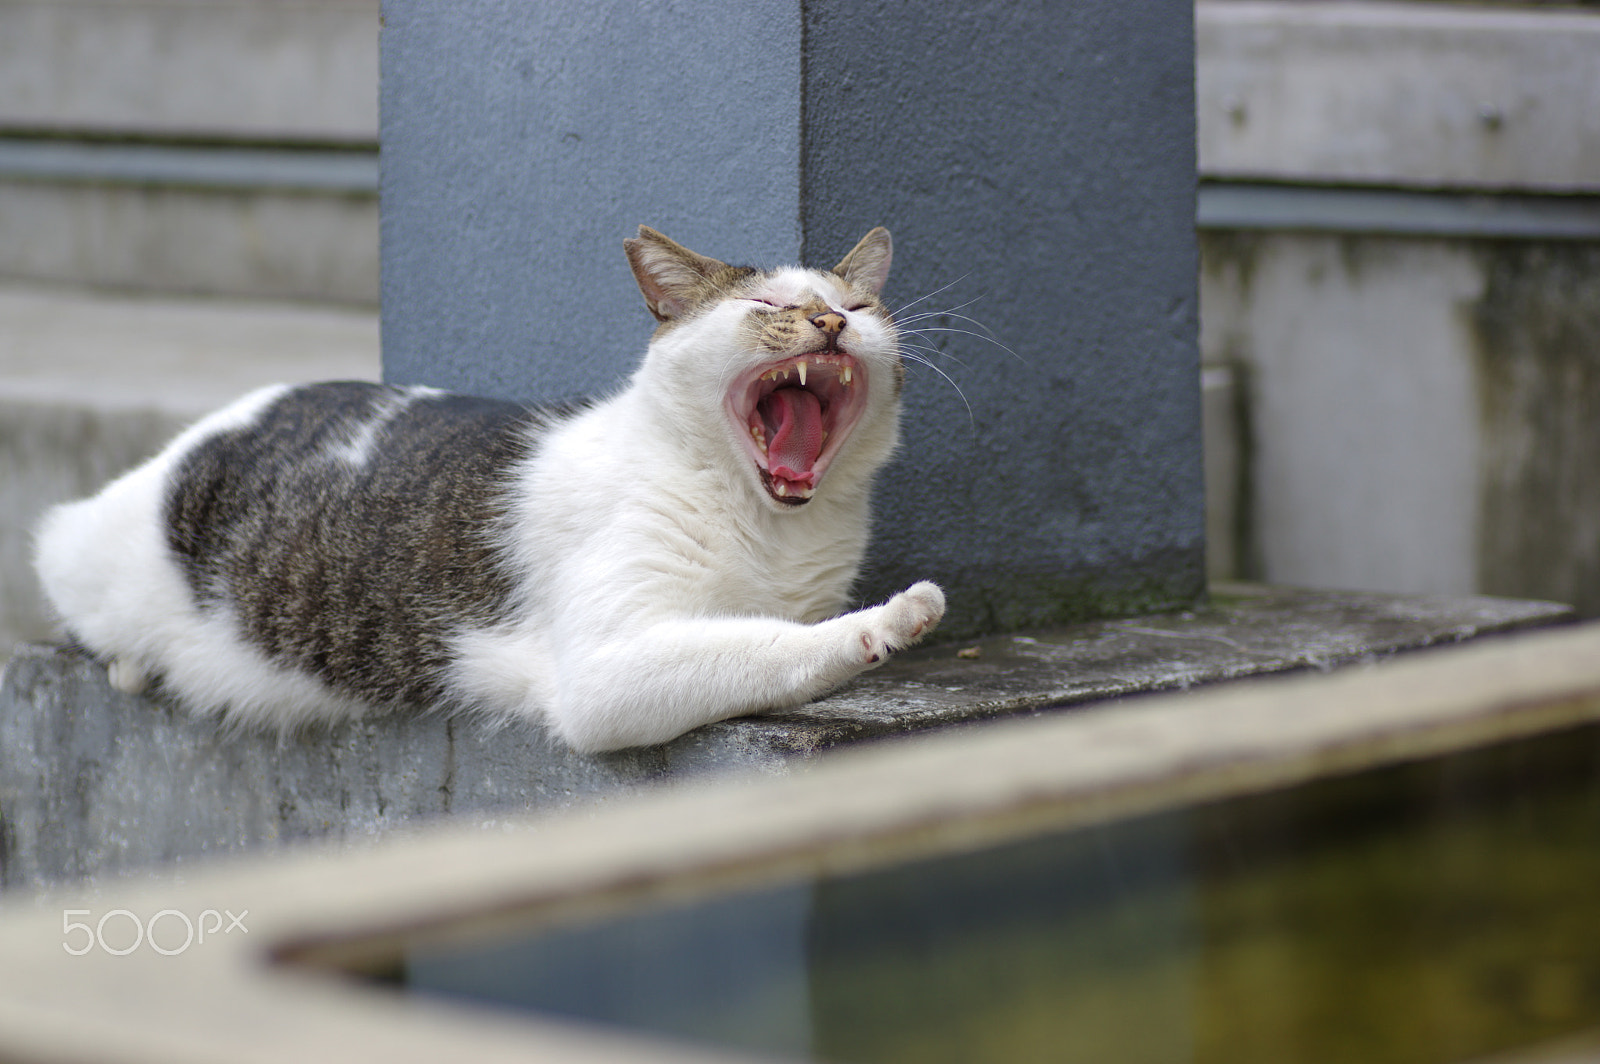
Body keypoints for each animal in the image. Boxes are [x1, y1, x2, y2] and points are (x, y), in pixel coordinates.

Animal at [37, 228, 940, 752]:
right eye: (767, 301)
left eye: (859, 304)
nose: (829, 322)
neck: (771, 524)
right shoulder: (607, 671)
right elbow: (771, 646)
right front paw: (889, 621)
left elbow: (782, 627)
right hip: (93, 559)